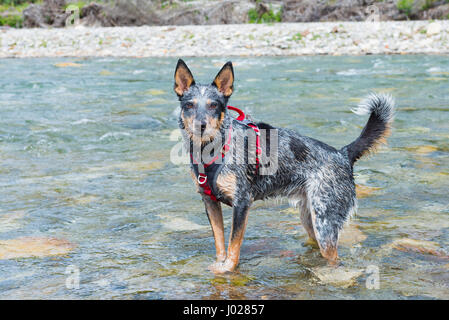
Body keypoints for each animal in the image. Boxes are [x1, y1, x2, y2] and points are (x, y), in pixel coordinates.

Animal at [173, 58, 394, 274]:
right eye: (189, 105)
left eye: (213, 105)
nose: (201, 125)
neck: (211, 149)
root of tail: (343, 154)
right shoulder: (209, 201)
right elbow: (220, 241)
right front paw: (219, 264)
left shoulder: (242, 202)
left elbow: (233, 244)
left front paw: (228, 268)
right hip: (310, 218)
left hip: (325, 222)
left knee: (333, 257)